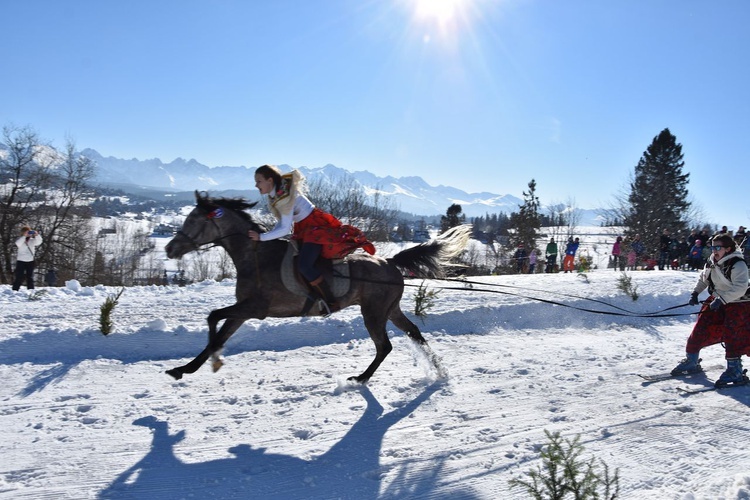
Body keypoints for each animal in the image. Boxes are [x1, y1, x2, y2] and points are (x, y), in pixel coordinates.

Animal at [166, 191, 470, 382]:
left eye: (193, 220)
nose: (170, 248)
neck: (256, 256)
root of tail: (390, 262)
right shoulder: (243, 310)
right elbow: (219, 333)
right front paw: (185, 368)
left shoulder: (254, 308)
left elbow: (213, 318)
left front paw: (207, 362)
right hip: (389, 309)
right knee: (414, 332)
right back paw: (439, 371)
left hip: (373, 313)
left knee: (384, 346)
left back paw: (361, 378)